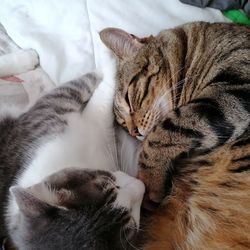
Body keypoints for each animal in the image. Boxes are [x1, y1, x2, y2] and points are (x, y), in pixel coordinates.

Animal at [0, 51, 145, 249]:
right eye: (131, 224)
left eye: (107, 181)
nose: (141, 186)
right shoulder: (53, 107)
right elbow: (87, 89)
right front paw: (107, 60)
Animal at [99, 22, 250, 249]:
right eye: (123, 125)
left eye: (128, 99)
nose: (134, 132)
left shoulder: (237, 87)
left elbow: (163, 133)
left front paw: (149, 183)